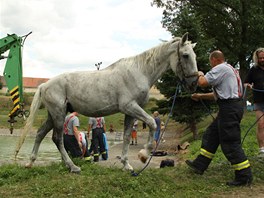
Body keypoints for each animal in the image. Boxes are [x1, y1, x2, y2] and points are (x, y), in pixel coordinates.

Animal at [16, 32, 198, 172]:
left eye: (193, 55)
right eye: (185, 55)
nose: (194, 83)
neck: (139, 72)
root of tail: (45, 85)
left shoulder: (130, 112)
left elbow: (126, 136)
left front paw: (126, 165)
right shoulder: (130, 107)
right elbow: (152, 123)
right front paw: (143, 155)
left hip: (53, 115)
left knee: (40, 133)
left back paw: (30, 162)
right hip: (59, 115)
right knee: (57, 139)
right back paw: (73, 166)